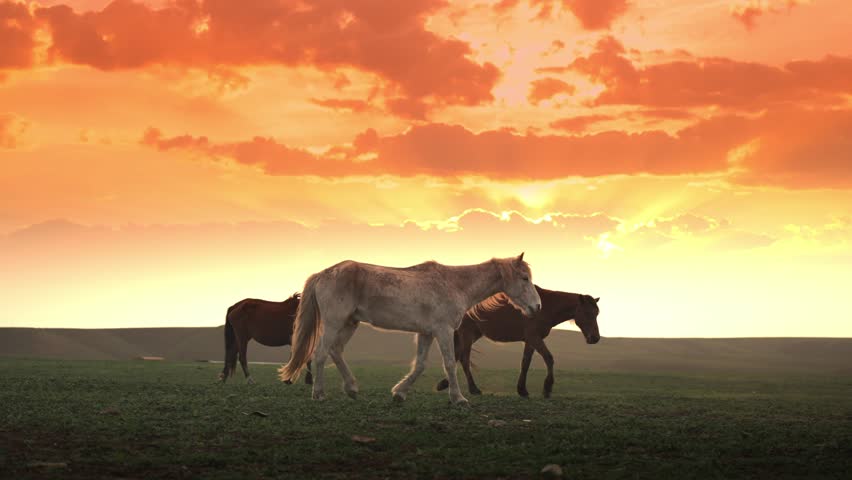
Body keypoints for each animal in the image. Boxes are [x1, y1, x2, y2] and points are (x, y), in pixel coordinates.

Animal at [276, 253, 544, 404]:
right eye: (524, 278)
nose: (537, 306)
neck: (454, 284)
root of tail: (324, 273)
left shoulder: (426, 333)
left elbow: (420, 365)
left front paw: (399, 393)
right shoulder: (444, 331)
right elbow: (450, 364)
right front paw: (458, 398)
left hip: (350, 323)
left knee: (335, 351)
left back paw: (351, 388)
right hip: (334, 323)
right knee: (321, 354)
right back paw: (320, 394)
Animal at [440, 284, 600, 398]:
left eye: (597, 313)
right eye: (587, 313)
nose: (595, 338)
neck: (545, 307)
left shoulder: (530, 340)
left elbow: (525, 363)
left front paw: (522, 390)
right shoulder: (534, 337)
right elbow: (549, 358)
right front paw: (547, 388)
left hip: (473, 334)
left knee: (457, 356)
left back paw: (445, 383)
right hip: (467, 334)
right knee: (464, 359)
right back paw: (473, 389)